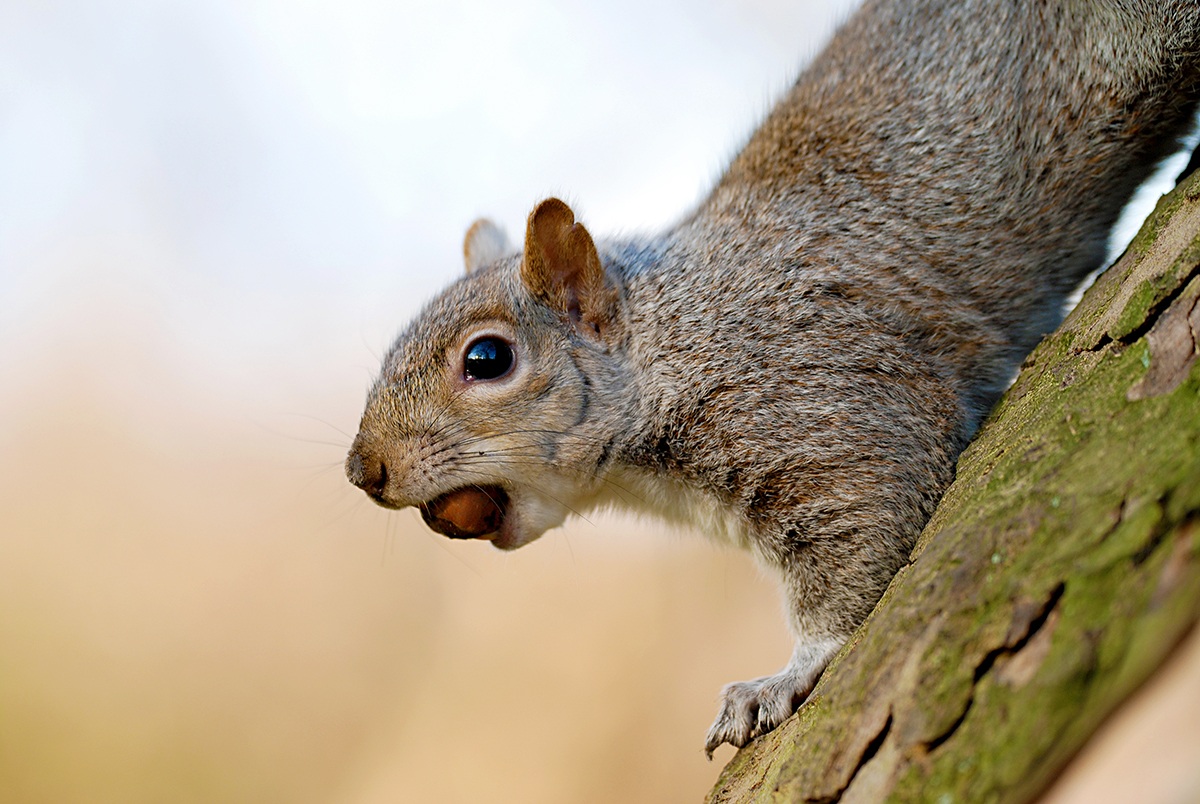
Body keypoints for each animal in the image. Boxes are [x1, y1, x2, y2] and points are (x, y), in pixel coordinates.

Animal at [346, 0, 1200, 756]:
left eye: (487, 360)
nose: (363, 471)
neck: (670, 339)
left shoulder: (815, 391)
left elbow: (869, 512)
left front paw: (784, 675)